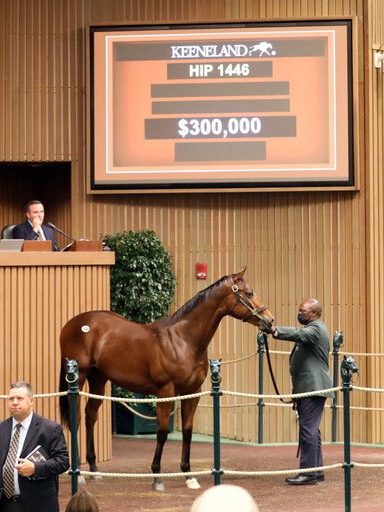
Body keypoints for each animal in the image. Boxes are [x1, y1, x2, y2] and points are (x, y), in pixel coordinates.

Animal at [58, 266, 272, 490]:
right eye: (249, 293)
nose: (270, 321)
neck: (183, 340)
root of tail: (72, 324)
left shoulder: (192, 393)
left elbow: (187, 430)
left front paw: (188, 475)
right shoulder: (165, 392)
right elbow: (161, 432)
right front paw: (157, 476)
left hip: (98, 378)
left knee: (91, 415)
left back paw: (93, 469)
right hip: (79, 377)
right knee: (77, 419)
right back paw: (79, 474)